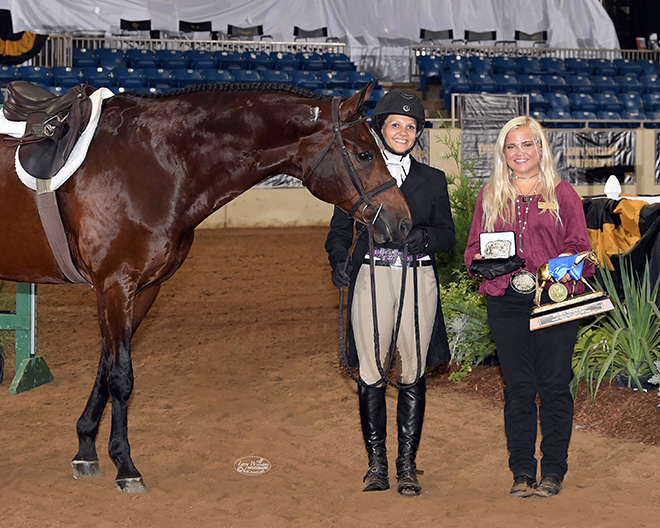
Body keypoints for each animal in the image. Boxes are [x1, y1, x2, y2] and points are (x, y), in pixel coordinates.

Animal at [0, 81, 410, 490]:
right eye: (364, 154)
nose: (403, 221)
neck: (153, 161)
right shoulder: (116, 284)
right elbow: (120, 376)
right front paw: (126, 466)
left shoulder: (143, 290)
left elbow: (106, 368)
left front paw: (86, 448)